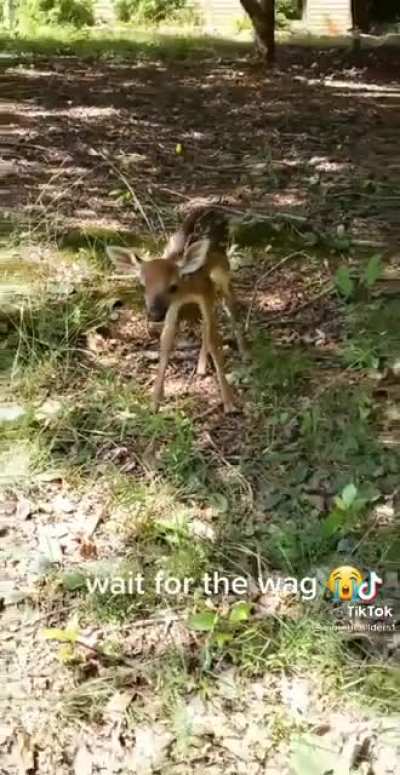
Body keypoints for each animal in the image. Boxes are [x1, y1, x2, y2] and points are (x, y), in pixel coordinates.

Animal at [106, 206, 247, 414]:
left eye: (172, 286)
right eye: (143, 286)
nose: (154, 314)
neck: (186, 288)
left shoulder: (206, 293)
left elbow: (214, 340)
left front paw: (229, 402)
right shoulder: (174, 306)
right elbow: (166, 342)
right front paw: (155, 402)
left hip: (223, 271)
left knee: (230, 307)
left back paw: (244, 352)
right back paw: (201, 368)